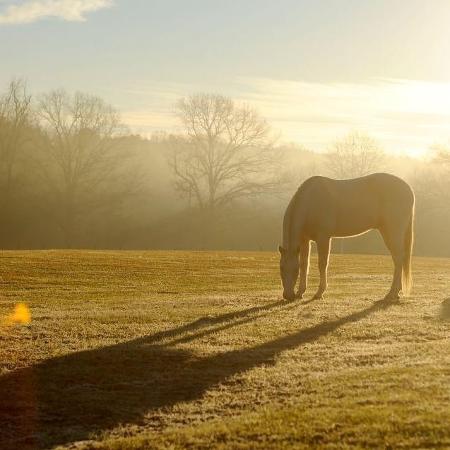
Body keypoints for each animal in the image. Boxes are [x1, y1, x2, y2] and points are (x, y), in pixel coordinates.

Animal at [280, 174, 416, 300]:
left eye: (295, 271)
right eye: (281, 269)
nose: (288, 295)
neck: (310, 201)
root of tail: (408, 189)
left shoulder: (323, 238)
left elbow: (322, 264)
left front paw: (319, 293)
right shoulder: (304, 240)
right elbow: (305, 264)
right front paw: (300, 292)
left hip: (393, 233)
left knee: (398, 259)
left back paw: (392, 292)